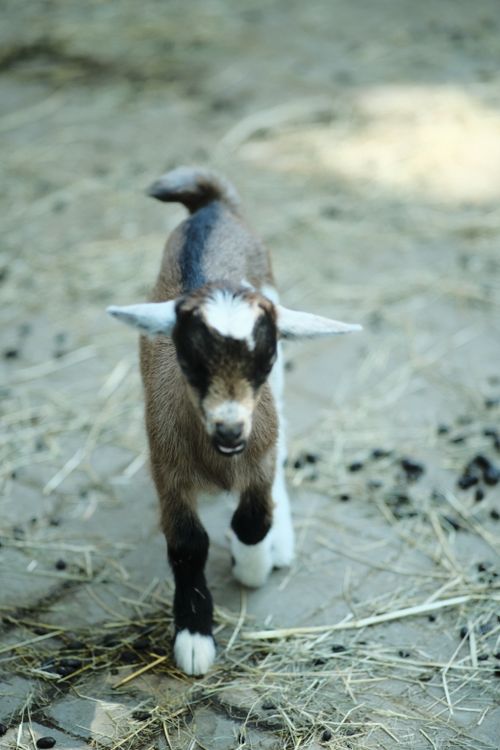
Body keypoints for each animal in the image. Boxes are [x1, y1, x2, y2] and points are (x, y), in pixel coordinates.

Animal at [107, 167, 361, 675]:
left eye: (264, 357)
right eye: (189, 360)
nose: (229, 429)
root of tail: (212, 204)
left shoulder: (257, 460)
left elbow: (253, 519)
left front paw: (253, 566)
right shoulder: (168, 472)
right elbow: (188, 545)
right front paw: (194, 637)